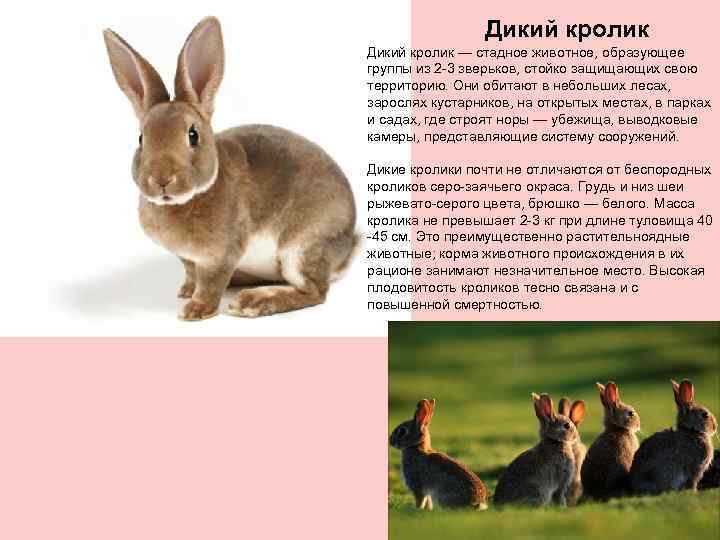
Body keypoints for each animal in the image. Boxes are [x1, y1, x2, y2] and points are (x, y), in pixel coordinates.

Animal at [103, 17, 357, 320]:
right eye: (142, 138)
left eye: (193, 135)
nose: (161, 179)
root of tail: (347, 247)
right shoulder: (189, 259)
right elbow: (192, 274)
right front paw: (186, 292)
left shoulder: (221, 255)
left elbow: (211, 283)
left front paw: (196, 310)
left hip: (301, 248)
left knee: (315, 292)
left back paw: (252, 301)